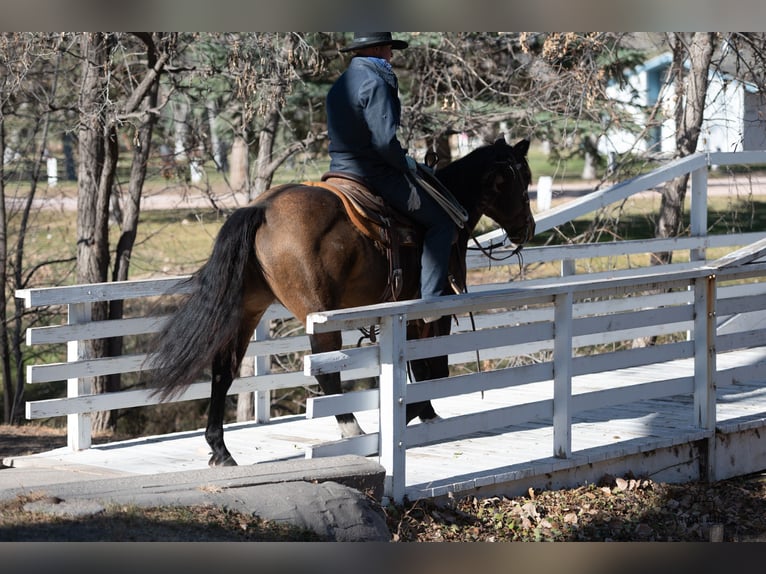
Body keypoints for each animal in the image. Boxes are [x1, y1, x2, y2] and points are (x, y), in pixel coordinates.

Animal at [148, 138, 536, 468]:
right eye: (524, 178)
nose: (527, 230)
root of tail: (261, 209)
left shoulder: (407, 315)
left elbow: (418, 368)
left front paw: (418, 411)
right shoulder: (431, 313)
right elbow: (432, 368)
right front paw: (417, 412)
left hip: (248, 309)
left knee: (223, 369)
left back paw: (220, 449)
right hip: (319, 315)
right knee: (327, 372)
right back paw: (354, 431)